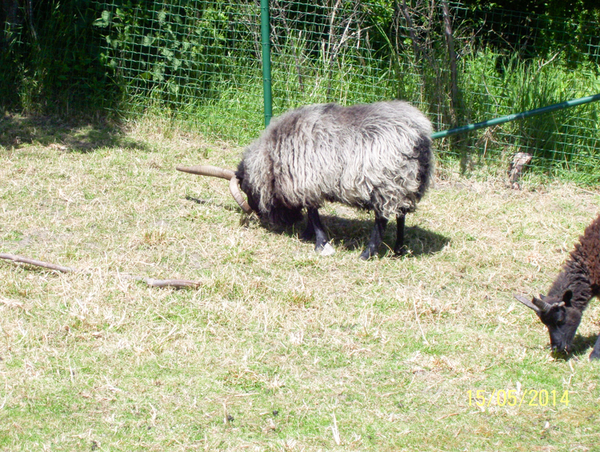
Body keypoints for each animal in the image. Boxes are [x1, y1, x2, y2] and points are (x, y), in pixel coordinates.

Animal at [176, 100, 434, 260]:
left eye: (248, 191)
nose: (263, 219)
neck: (272, 159)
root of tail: (419, 135)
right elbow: (312, 212)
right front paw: (307, 234)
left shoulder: (306, 181)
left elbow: (313, 212)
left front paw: (320, 243)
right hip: (406, 184)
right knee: (401, 215)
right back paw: (399, 249)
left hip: (386, 183)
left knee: (382, 219)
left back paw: (367, 254)